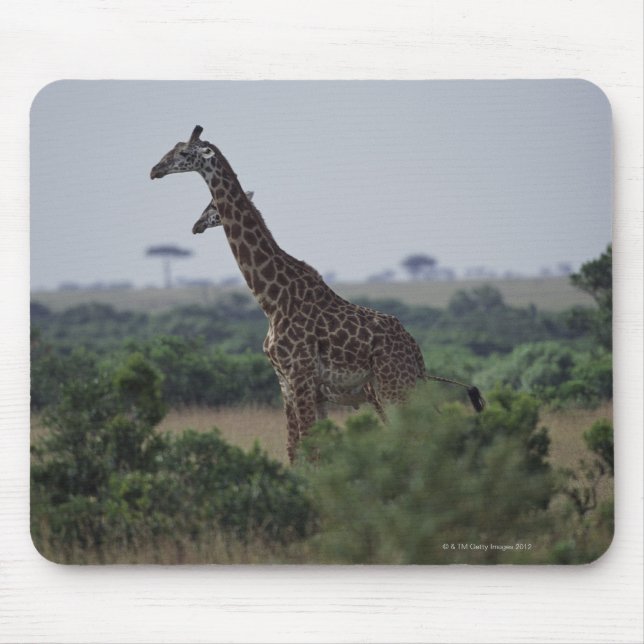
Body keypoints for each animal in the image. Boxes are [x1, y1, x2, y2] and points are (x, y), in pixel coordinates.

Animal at [151, 125, 484, 462]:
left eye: (183, 153)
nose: (155, 170)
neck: (271, 300)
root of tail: (415, 349)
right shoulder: (287, 383)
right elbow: (296, 450)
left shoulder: (300, 375)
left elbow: (309, 450)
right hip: (398, 386)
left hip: (393, 384)